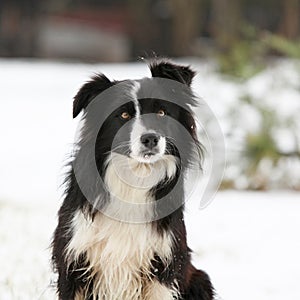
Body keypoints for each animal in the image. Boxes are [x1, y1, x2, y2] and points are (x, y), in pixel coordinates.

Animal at [52, 59, 216, 300]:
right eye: (124, 115)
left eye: (161, 112)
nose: (150, 139)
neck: (135, 179)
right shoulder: (73, 262)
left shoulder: (164, 268)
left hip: (200, 280)